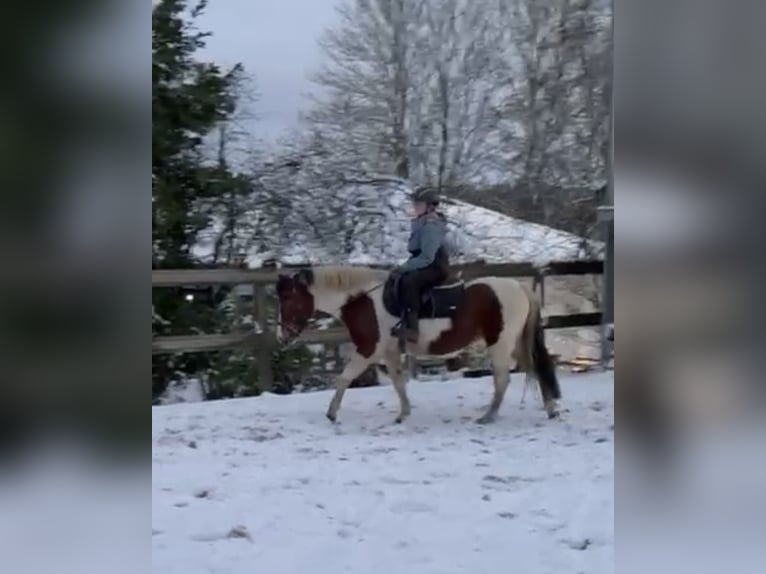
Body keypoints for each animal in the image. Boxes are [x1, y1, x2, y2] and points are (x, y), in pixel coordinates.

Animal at [272, 268, 560, 426]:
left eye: (289, 299)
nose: (283, 336)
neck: (363, 301)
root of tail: (519, 286)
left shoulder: (369, 350)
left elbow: (344, 378)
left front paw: (332, 413)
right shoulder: (388, 353)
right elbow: (399, 383)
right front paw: (404, 413)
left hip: (501, 344)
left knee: (502, 380)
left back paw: (489, 416)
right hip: (515, 343)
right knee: (535, 367)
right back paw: (550, 409)